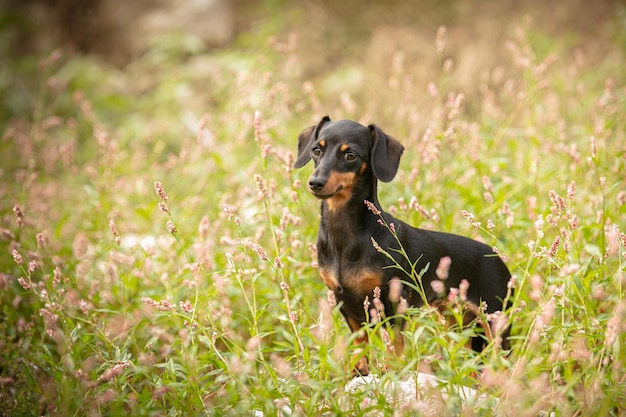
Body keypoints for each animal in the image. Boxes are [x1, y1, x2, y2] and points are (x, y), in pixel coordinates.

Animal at [294, 116, 510, 374]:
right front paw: (359, 373)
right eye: (316, 150)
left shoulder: (393, 305)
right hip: (459, 325)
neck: (345, 236)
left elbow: (393, 350)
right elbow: (360, 348)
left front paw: (391, 375)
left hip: (495, 324)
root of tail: (497, 257)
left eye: (350, 155)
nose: (315, 183)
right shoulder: (345, 303)